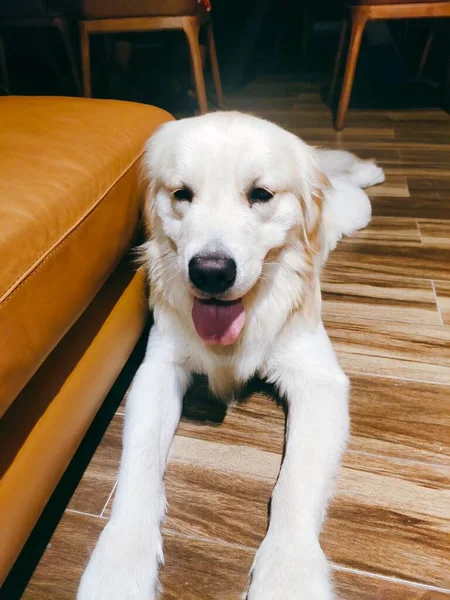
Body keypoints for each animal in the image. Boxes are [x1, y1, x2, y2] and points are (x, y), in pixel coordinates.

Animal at [77, 110, 384, 596]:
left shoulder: (318, 380)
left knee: (351, 184)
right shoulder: (158, 370)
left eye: (260, 194)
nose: (210, 272)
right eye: (182, 194)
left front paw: (289, 573)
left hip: (356, 208)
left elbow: (294, 483)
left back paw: (369, 170)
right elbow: (138, 468)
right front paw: (119, 563)